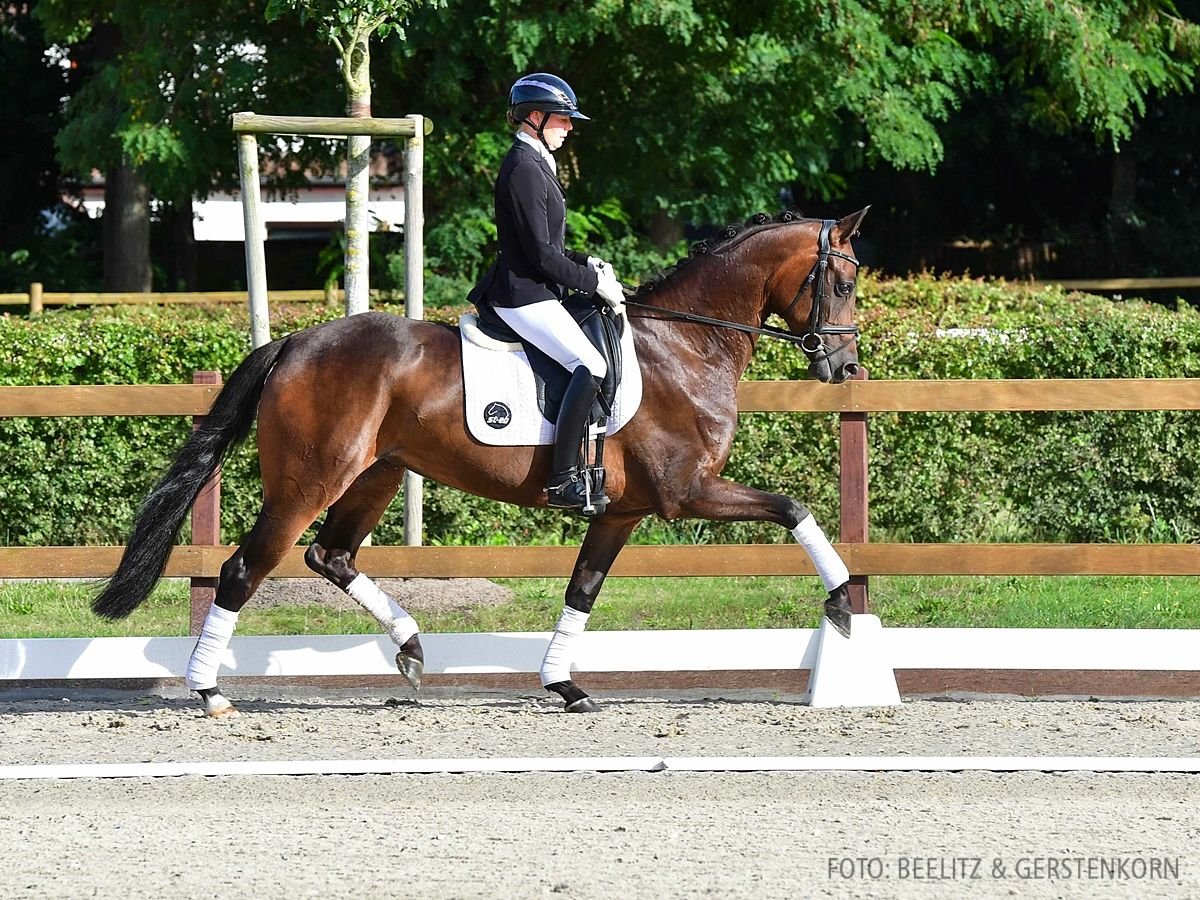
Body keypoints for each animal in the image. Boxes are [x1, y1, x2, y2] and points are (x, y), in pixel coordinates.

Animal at [91, 210, 864, 720]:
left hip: (375, 474)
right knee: (244, 569)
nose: (847, 368)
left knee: (331, 556)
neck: (684, 345)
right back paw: (210, 692)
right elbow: (795, 508)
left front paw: (564, 686)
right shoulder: (687, 491)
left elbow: (582, 590)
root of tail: (297, 342)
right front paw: (841, 606)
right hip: (310, 481)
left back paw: (410, 647)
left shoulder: (623, 510)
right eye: (845, 285)